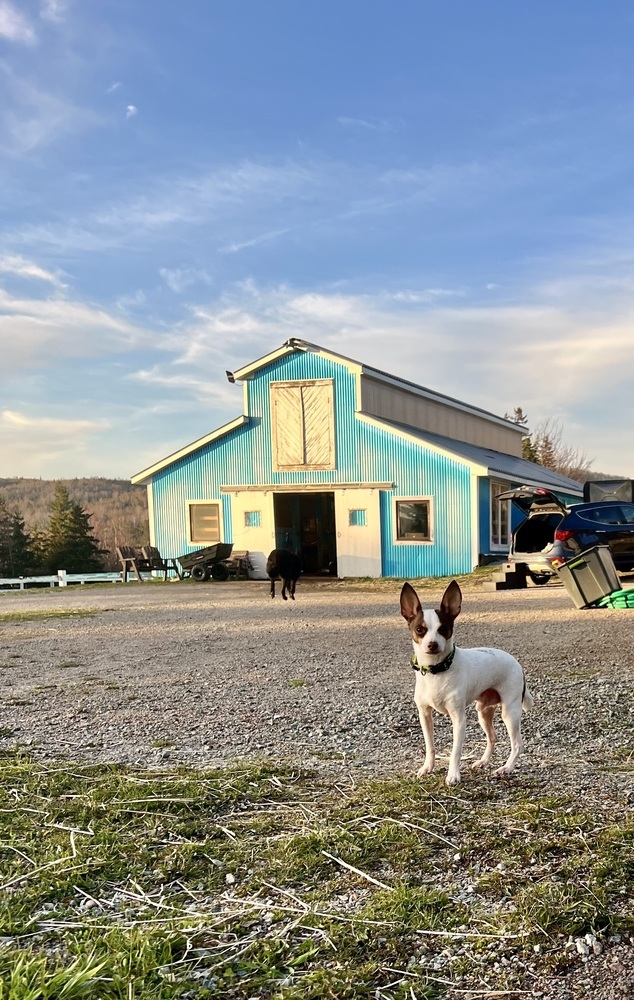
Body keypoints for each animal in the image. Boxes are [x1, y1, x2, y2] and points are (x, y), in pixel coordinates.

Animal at [398, 584, 532, 784]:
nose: (432, 644)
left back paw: (506, 768)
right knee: (492, 737)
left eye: (443, 629)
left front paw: (453, 775)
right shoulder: (425, 715)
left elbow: (455, 751)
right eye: (420, 629)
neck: (437, 671)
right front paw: (427, 767)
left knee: (517, 744)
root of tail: (517, 663)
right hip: (483, 711)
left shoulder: (459, 719)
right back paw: (483, 762)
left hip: (510, 712)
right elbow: (430, 746)